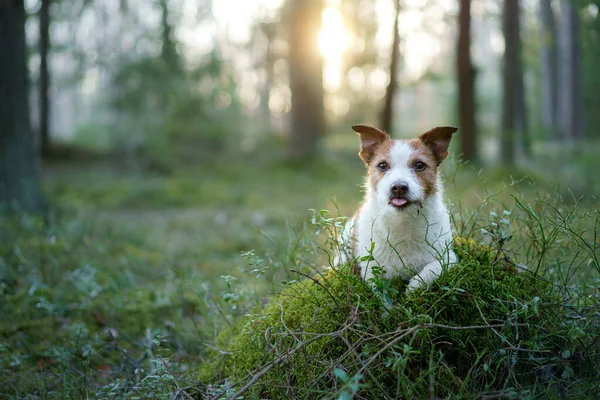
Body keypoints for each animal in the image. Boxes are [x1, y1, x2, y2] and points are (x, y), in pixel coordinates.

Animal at [338, 124, 460, 290]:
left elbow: (433, 268)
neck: (402, 220)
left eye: (419, 165)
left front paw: (414, 285)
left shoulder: (448, 257)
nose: (399, 187)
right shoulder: (371, 269)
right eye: (382, 165)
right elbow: (378, 289)